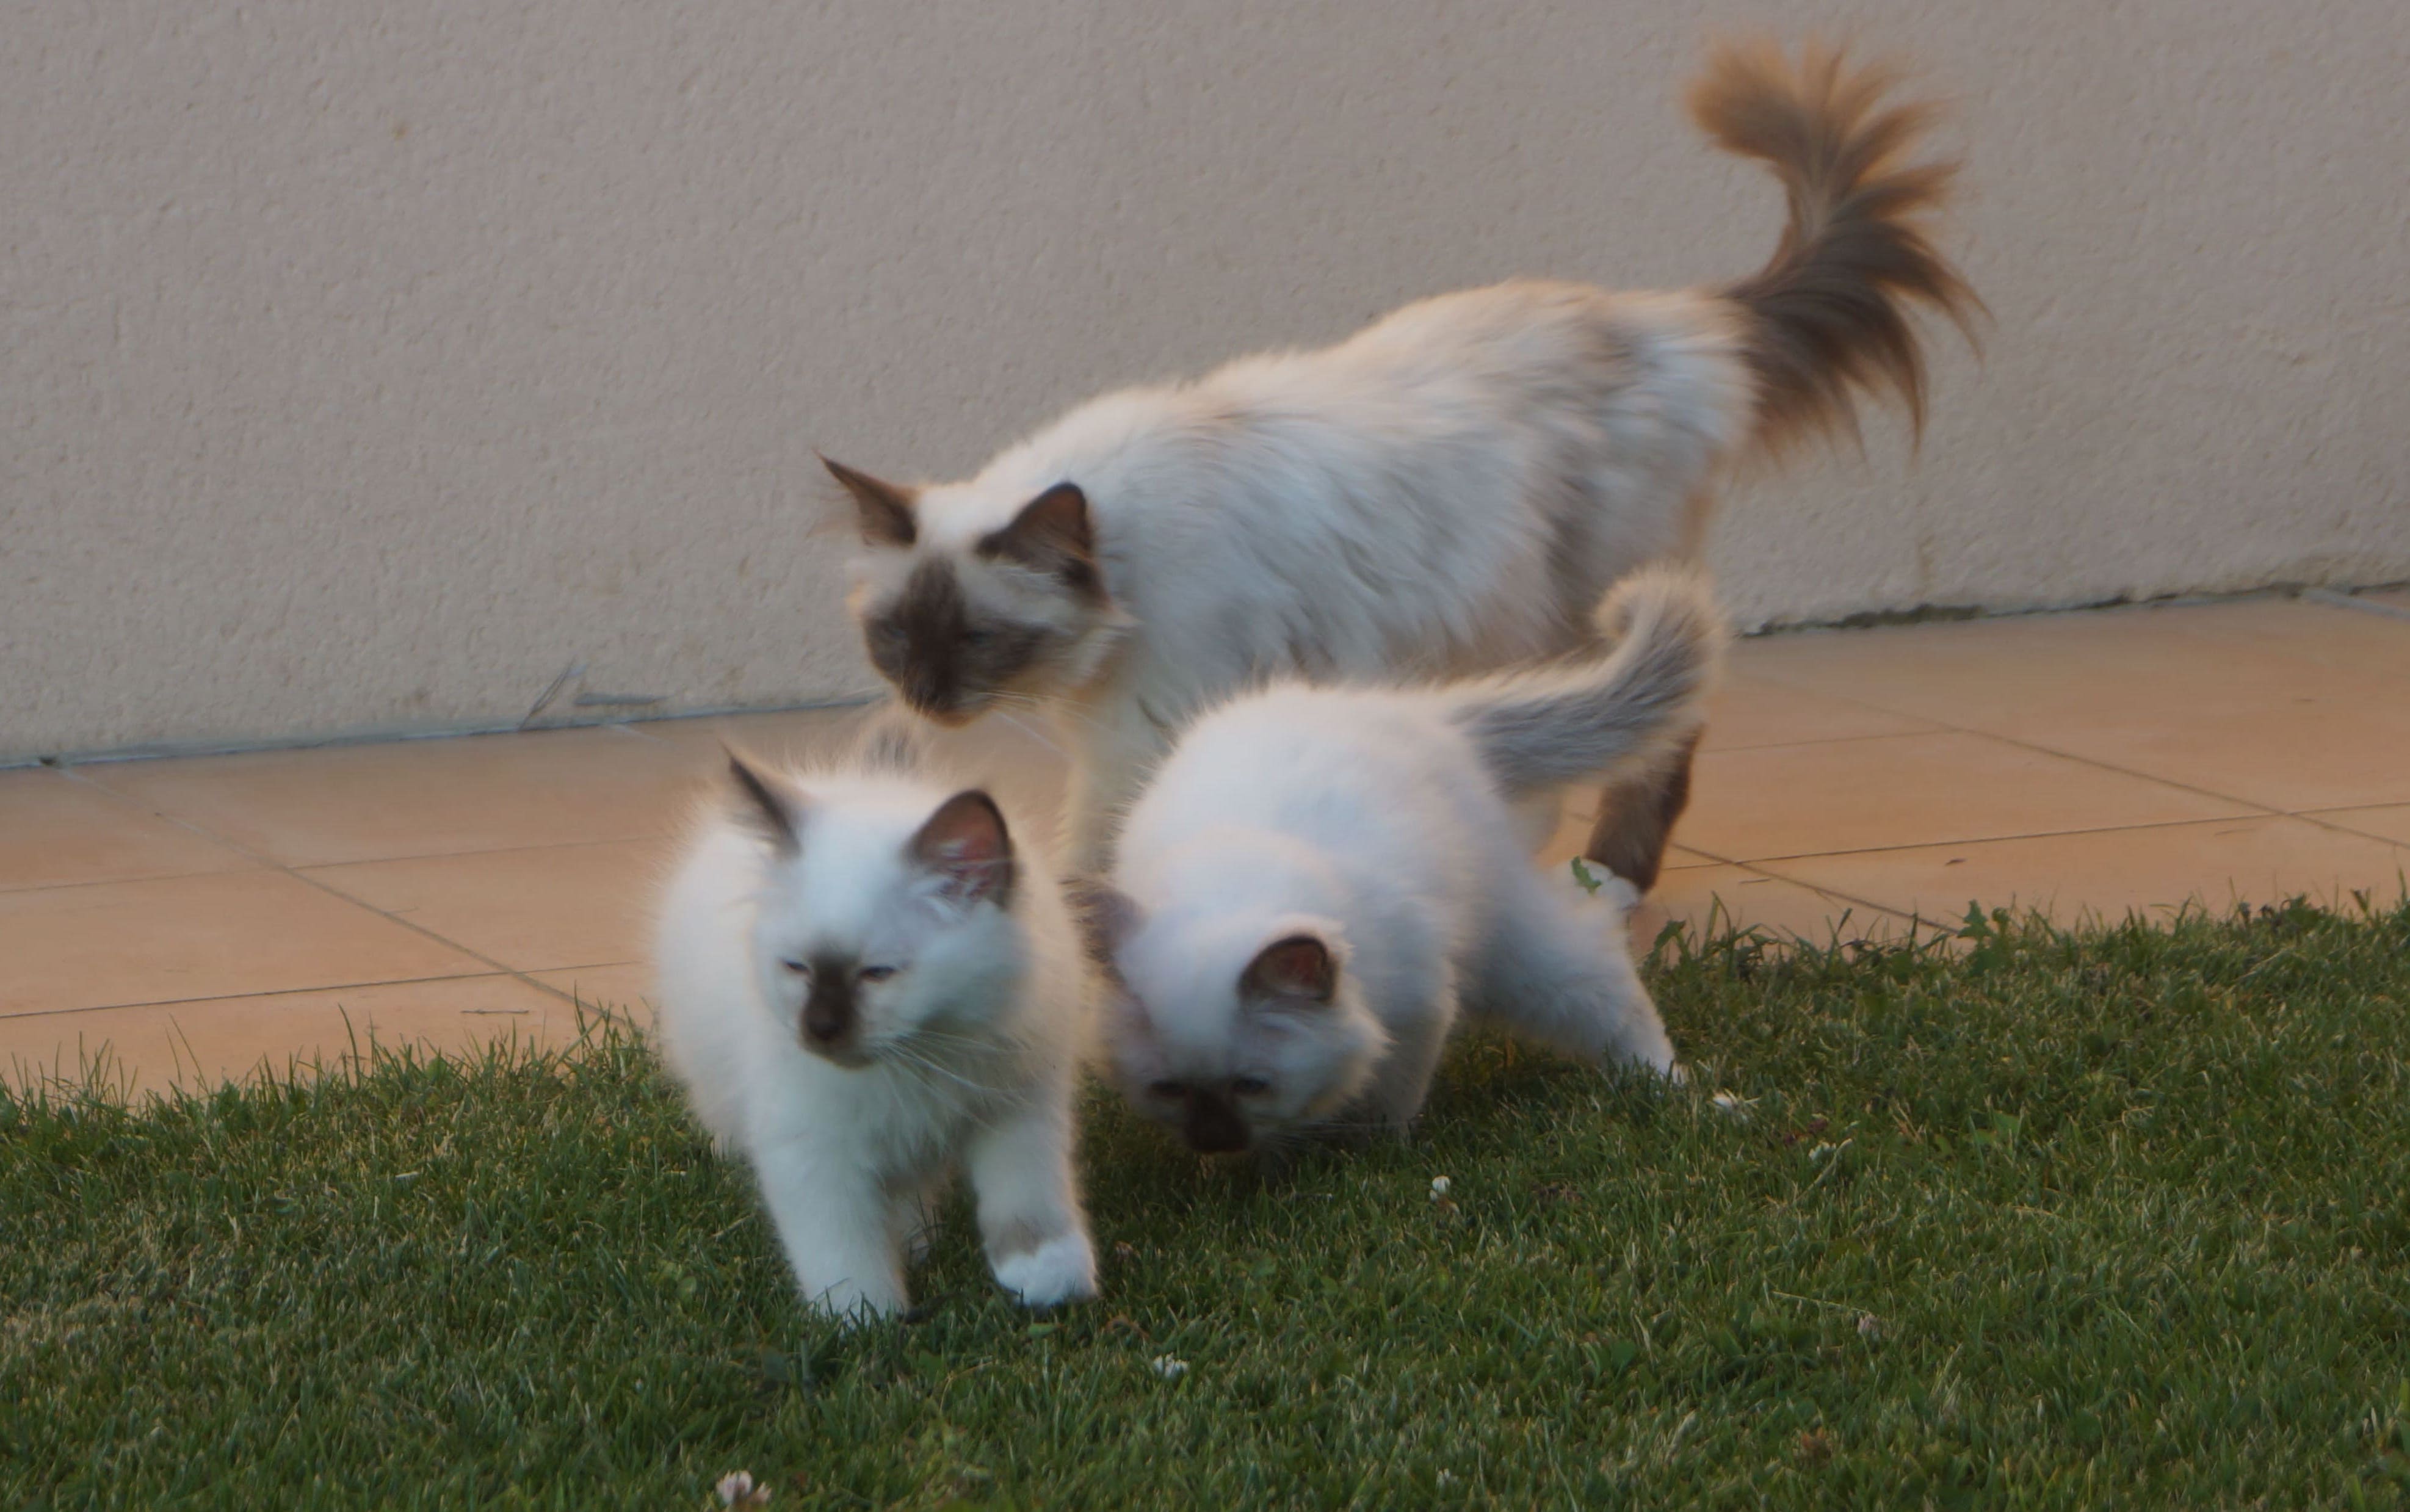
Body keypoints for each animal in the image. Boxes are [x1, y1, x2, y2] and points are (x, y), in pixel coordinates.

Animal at [641, 728, 1094, 1321]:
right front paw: (867, 1323)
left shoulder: (1015, 1113)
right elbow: (844, 1254)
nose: (819, 1027)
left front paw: (1048, 1284)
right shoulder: (815, 1152)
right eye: (797, 968)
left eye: (878, 974)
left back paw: (916, 1240)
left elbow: (1028, 1209)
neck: (922, 1057)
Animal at [824, 41, 1976, 882]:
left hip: (1577, 614)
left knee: (1654, 740)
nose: (926, 700)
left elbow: (1092, 862)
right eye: (896, 638)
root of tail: (1679, 319)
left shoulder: (1141, 733)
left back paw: (1604, 884)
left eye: (977, 638)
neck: (1124, 576)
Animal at [1084, 562, 1725, 1152]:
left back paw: (1672, 1088)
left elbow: (1388, 1101)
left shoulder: (1416, 1011)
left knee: (1606, 982)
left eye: (1251, 1085)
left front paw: (1372, 1155)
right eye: (1170, 1089)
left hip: (1513, 949)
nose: (1214, 1142)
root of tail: (1427, 712)